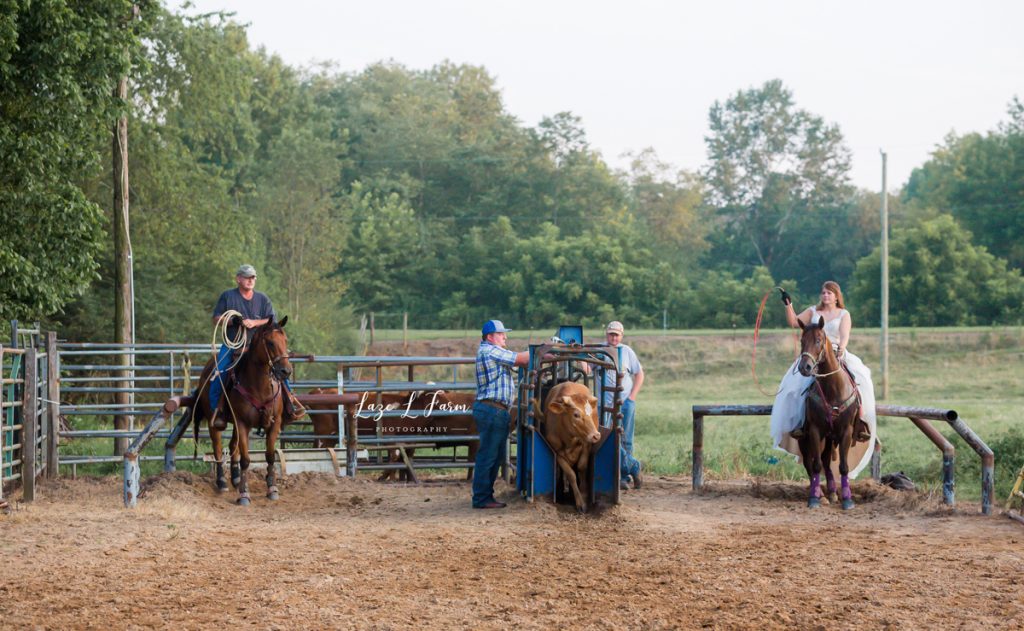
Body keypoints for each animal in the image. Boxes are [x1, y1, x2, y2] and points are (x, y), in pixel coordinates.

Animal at [192, 317, 292, 506]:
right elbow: (245, 459)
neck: (260, 387)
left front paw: (272, 488)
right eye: (270, 342)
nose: (286, 371)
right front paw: (244, 494)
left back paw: (236, 478)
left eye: (285, 340)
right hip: (215, 422)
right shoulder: (242, 423)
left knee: (232, 446)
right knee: (218, 449)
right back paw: (222, 482)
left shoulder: (274, 423)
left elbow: (270, 456)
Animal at [794, 317, 860, 510]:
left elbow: (843, 466)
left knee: (826, 461)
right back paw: (822, 494)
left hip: (830, 438)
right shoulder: (815, 430)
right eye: (802, 341)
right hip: (807, 439)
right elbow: (815, 465)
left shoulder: (846, 431)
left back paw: (832, 492)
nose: (805, 367)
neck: (833, 389)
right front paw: (814, 498)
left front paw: (847, 499)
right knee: (811, 462)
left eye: (818, 340)